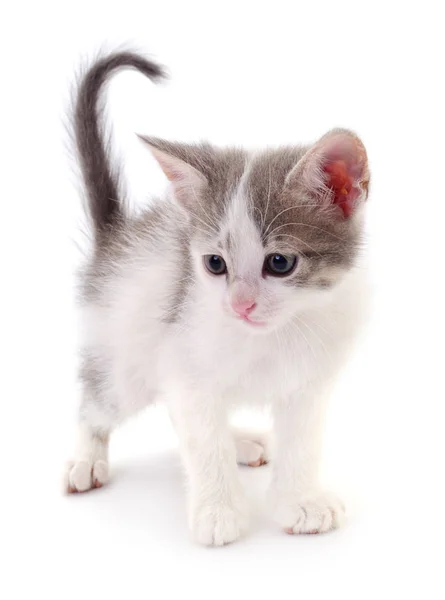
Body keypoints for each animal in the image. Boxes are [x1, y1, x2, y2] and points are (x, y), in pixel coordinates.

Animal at [65, 52, 368, 548]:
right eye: (214, 264)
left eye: (280, 263)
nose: (240, 306)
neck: (272, 338)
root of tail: (115, 238)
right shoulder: (183, 355)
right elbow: (202, 437)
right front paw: (218, 511)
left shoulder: (310, 382)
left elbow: (300, 442)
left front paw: (300, 501)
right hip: (126, 356)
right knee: (99, 402)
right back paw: (87, 458)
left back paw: (241, 441)